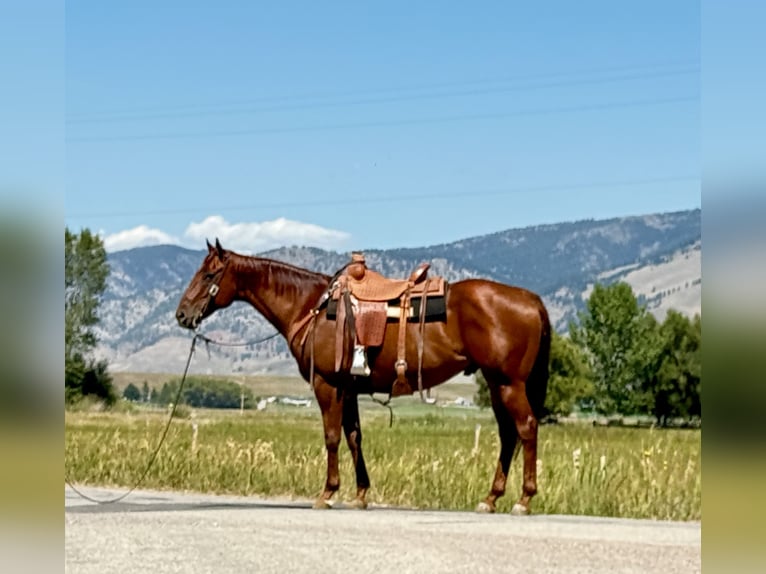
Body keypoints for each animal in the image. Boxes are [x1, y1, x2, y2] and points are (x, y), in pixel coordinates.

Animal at [175, 239, 551, 515]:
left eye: (208, 275)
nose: (181, 314)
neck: (309, 306)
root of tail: (531, 299)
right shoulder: (349, 388)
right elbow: (355, 437)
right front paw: (360, 494)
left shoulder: (326, 384)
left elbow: (331, 437)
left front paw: (327, 493)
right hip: (496, 383)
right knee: (508, 435)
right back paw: (491, 499)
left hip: (508, 383)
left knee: (526, 428)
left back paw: (524, 499)